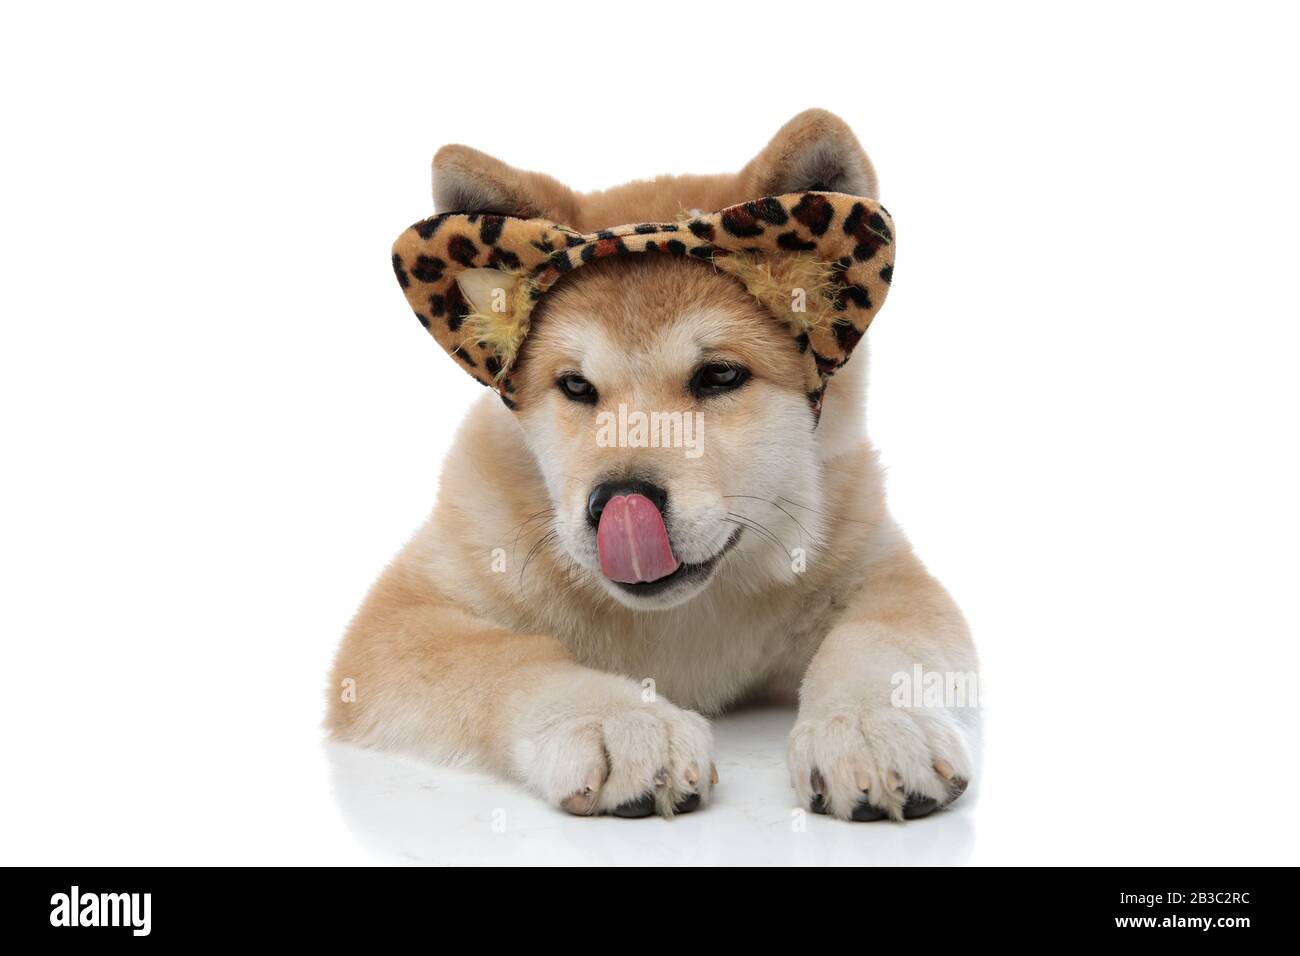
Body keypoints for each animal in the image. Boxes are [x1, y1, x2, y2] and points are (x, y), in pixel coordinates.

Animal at [325, 106, 977, 822]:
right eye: (576, 386)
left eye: (719, 375)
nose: (618, 505)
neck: (677, 626)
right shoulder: (399, 618)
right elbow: (513, 657)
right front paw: (618, 722)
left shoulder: (884, 572)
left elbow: (877, 643)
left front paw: (871, 725)